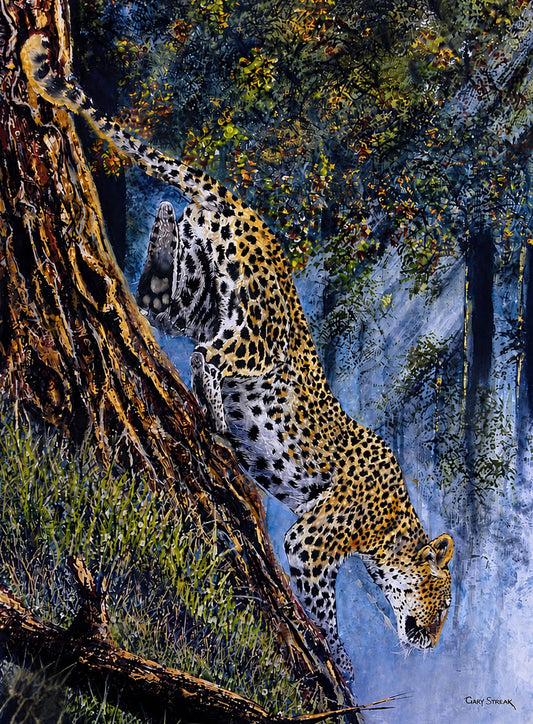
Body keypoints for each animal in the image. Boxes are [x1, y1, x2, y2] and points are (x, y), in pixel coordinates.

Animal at [22, 33, 454, 677]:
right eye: (444, 601)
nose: (432, 642)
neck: (395, 526)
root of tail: (241, 205)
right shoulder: (310, 543)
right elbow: (324, 614)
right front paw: (339, 665)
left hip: (203, 291)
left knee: (160, 302)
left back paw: (163, 228)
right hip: (258, 334)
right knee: (209, 353)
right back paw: (219, 416)